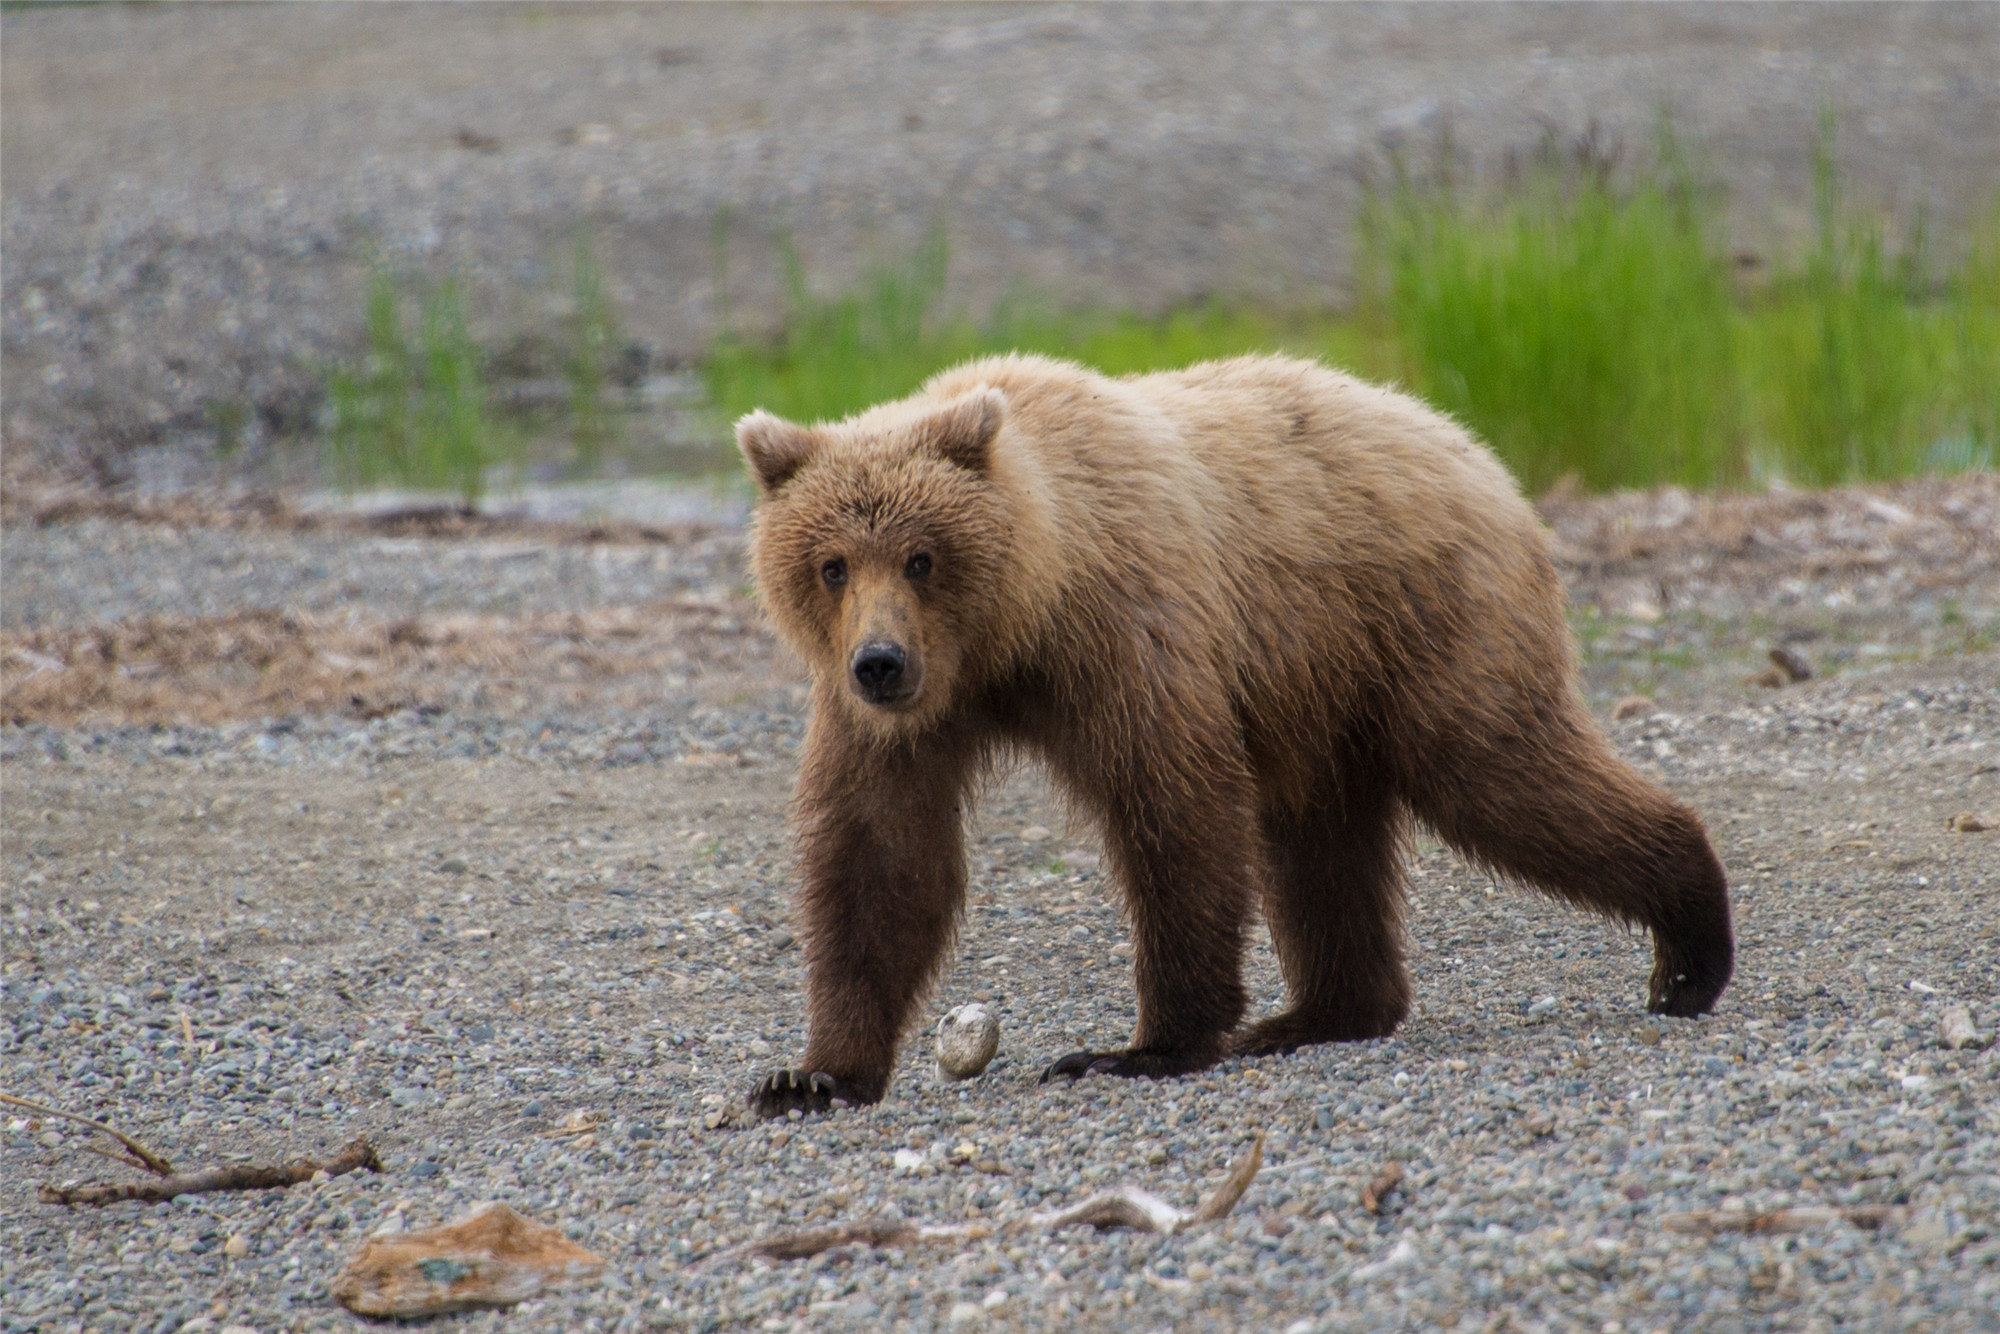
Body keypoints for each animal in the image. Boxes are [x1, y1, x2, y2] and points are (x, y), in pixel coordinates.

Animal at [736, 348, 1736, 1120]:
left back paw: (1688, 950)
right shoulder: (894, 725)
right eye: (830, 564)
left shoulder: (1127, 631)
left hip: (1428, 619)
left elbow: (1174, 807)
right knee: (1323, 844)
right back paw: (1319, 1014)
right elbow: (882, 856)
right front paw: (812, 1075)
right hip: (1325, 691)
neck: (1015, 631)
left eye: (921, 556)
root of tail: (1476, 450)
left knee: (1499, 773)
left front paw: (1139, 1047)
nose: (881, 662)